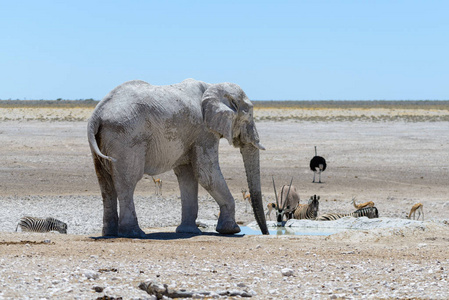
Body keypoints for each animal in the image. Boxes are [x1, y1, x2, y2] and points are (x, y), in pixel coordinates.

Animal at [88, 79, 270, 237]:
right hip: (127, 137)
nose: (266, 233)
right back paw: (134, 233)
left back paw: (110, 233)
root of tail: (96, 114)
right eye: (249, 114)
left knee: (105, 184)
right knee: (127, 181)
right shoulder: (203, 131)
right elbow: (205, 173)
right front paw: (231, 230)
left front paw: (188, 231)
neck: (212, 86)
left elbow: (187, 176)